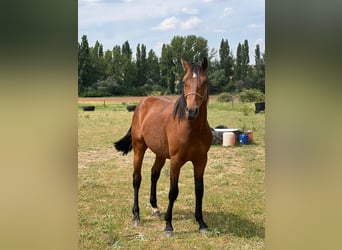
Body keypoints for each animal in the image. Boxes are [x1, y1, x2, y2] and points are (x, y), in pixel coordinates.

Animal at [114, 57, 211, 237]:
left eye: (205, 81)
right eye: (184, 82)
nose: (192, 111)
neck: (191, 128)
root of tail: (142, 104)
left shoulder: (201, 161)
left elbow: (199, 190)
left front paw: (201, 222)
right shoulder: (176, 161)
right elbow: (173, 192)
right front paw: (168, 226)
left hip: (160, 153)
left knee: (154, 174)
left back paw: (155, 207)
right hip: (139, 148)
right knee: (137, 179)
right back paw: (136, 216)